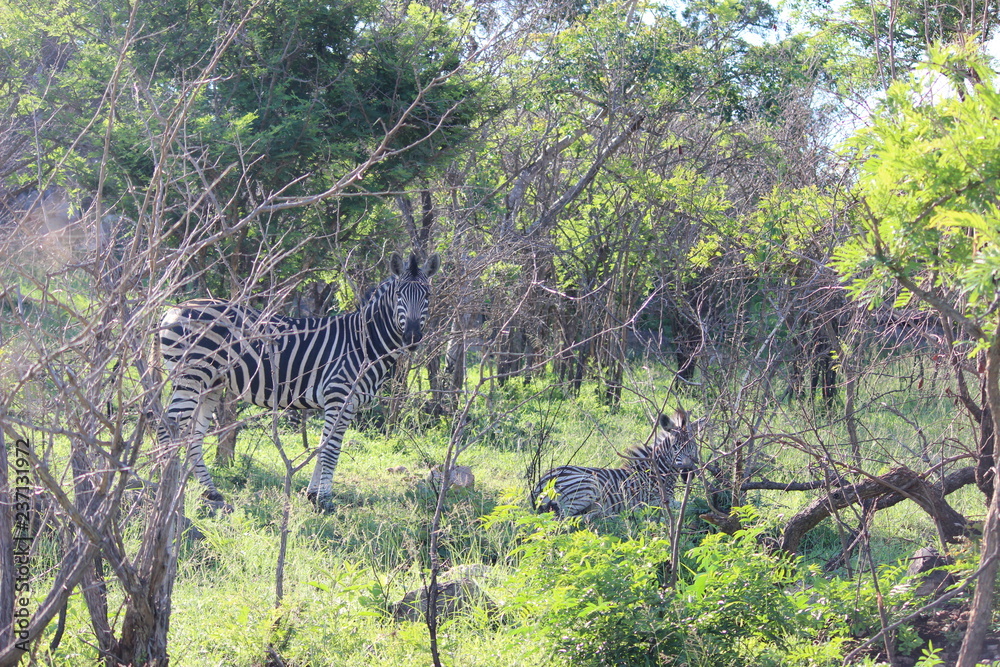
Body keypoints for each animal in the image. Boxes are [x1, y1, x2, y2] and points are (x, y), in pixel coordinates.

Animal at [157, 251, 440, 508]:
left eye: (427, 296)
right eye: (399, 295)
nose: (412, 337)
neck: (364, 343)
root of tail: (173, 309)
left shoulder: (346, 403)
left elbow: (324, 446)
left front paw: (313, 494)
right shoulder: (338, 395)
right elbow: (331, 449)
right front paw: (324, 501)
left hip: (211, 384)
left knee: (193, 434)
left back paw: (210, 492)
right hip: (192, 375)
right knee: (167, 428)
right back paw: (164, 487)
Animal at [530, 411, 699, 519]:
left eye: (694, 447)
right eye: (675, 447)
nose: (687, 473)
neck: (657, 472)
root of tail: (541, 481)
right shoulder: (654, 502)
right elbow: (686, 506)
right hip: (587, 486)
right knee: (561, 520)